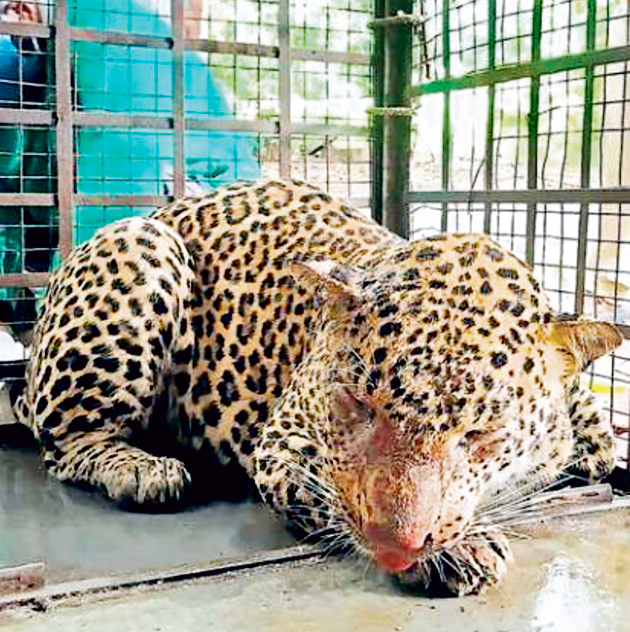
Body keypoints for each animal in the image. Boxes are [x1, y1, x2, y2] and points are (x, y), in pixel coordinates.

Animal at [14, 178, 622, 596]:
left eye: (482, 435)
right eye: (356, 402)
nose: (395, 546)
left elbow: (592, 443)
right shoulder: (283, 443)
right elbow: (332, 490)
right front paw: (461, 551)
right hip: (139, 246)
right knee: (65, 443)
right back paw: (144, 469)